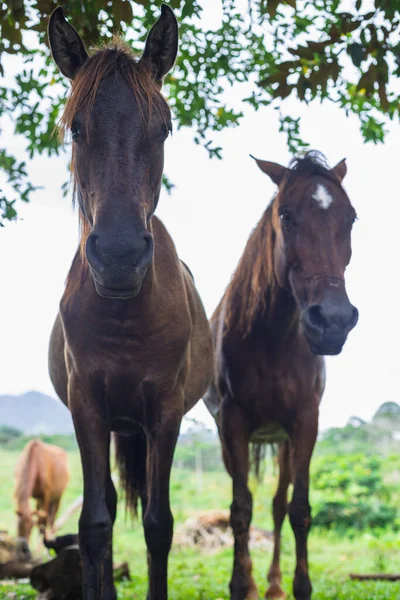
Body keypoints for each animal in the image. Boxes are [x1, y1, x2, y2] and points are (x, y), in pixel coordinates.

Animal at [47, 4, 212, 600]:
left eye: (162, 127)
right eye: (77, 127)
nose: (118, 257)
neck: (124, 316)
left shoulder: (164, 412)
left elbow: (159, 526)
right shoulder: (87, 407)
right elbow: (95, 524)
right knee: (109, 511)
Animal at [205, 151, 358, 600]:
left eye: (351, 218)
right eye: (286, 215)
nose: (333, 322)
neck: (271, 339)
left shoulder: (305, 423)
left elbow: (299, 509)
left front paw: (299, 585)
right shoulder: (233, 424)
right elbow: (240, 509)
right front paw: (240, 585)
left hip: (285, 442)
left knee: (276, 504)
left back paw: (273, 585)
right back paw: (257, 582)